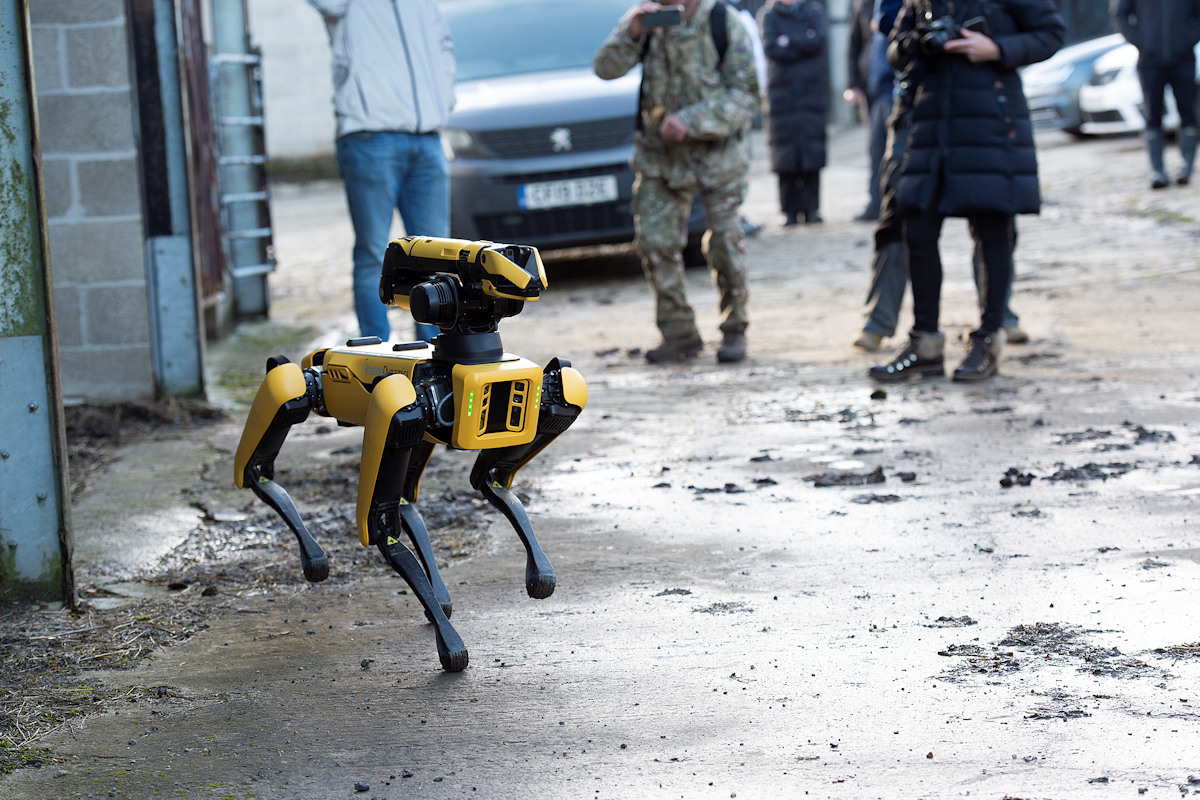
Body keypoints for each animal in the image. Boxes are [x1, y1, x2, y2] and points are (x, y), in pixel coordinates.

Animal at [230, 236, 585, 671]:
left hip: (423, 431)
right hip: (313, 389)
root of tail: (318, 357)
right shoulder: (397, 405)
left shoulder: (548, 398)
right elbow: (380, 525)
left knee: (408, 495)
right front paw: (450, 642)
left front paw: (538, 570)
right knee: (273, 421)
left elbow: (492, 480)